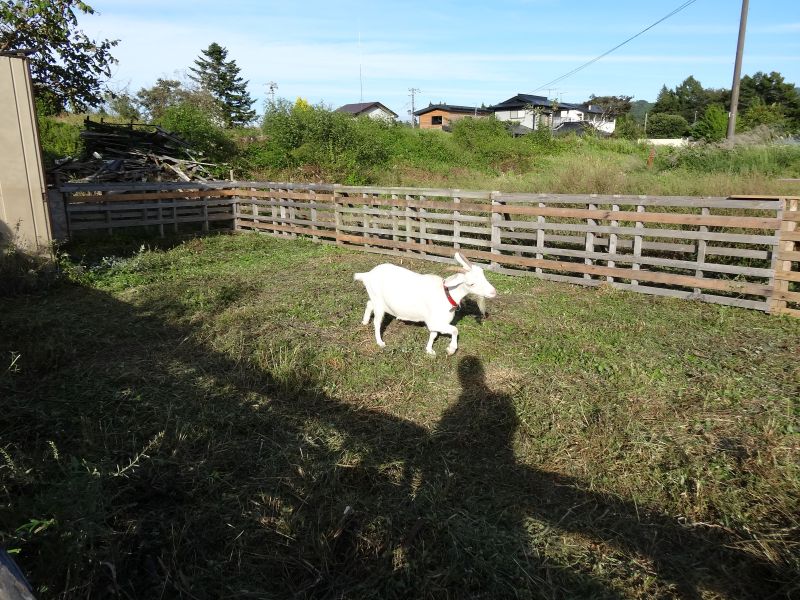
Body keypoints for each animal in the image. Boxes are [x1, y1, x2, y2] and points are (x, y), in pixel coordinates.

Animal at [353, 252, 497, 355]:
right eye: (471, 284)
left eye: (483, 274)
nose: (493, 292)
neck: (446, 294)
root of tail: (367, 275)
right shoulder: (435, 322)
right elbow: (455, 330)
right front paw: (451, 349)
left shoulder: (436, 323)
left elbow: (433, 334)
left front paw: (429, 350)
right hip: (379, 302)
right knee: (377, 322)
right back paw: (380, 342)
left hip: (377, 299)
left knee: (369, 303)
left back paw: (364, 321)